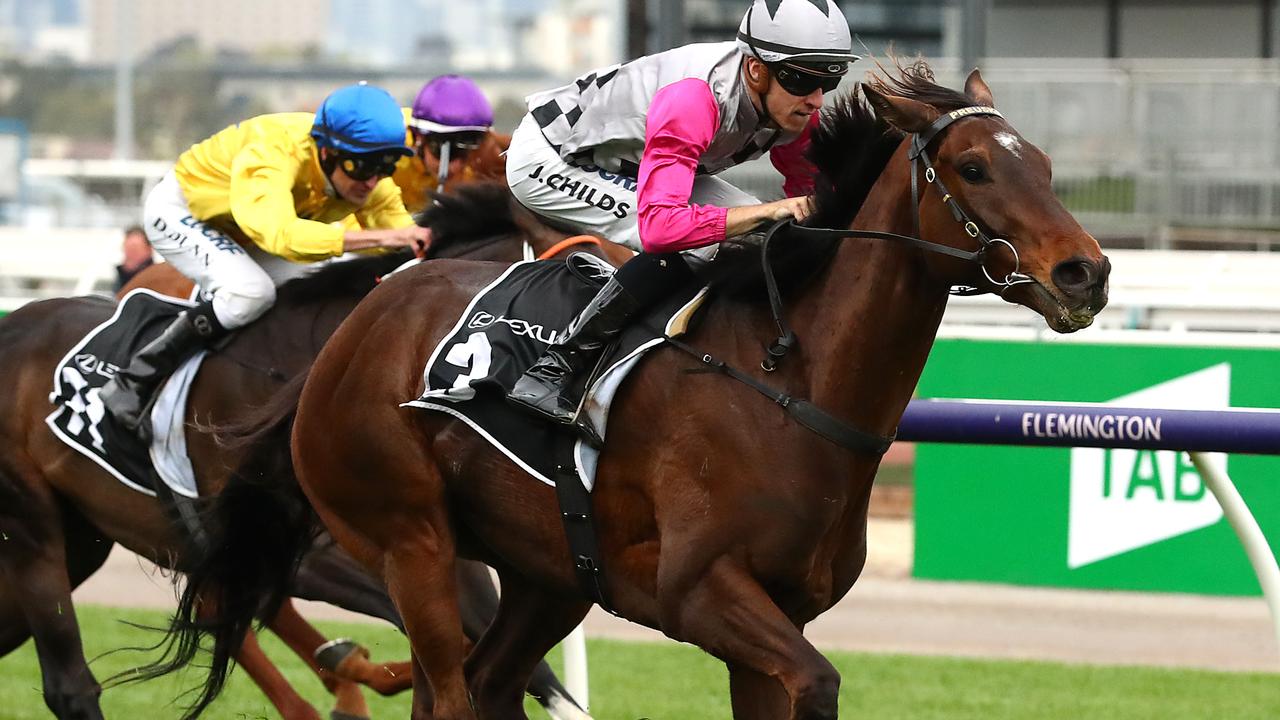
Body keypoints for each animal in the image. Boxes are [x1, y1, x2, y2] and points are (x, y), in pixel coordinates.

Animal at [0, 183, 604, 717]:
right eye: (589, 272)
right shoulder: (316, 553)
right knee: (72, 684)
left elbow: (515, 663)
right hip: (33, 526)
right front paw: (352, 667)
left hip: (85, 539)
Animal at [149, 64, 1111, 712]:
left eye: (1047, 165)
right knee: (447, 686)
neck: (788, 383)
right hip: (410, 543)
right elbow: (819, 681)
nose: (1086, 273)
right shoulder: (699, 593)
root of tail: (360, 322)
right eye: (976, 169)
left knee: (489, 682)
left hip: (547, 574)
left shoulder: (777, 620)